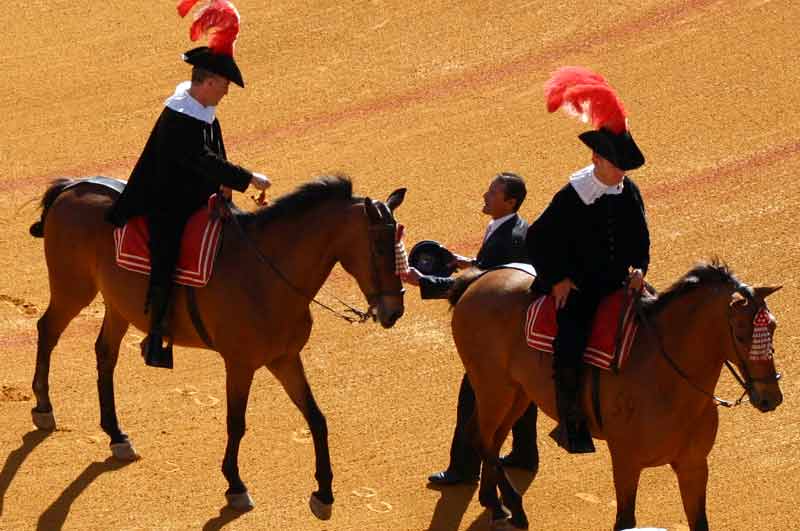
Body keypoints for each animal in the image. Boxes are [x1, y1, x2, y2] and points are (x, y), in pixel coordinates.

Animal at [29, 176, 406, 520]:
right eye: (379, 248)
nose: (394, 311)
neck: (267, 274)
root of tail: (72, 187)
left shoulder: (285, 359)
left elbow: (316, 417)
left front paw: (323, 494)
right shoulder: (239, 364)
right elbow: (236, 422)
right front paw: (236, 486)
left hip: (118, 306)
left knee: (105, 354)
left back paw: (117, 435)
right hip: (73, 289)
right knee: (47, 331)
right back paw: (44, 407)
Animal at [450, 262, 780, 531]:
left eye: (773, 326)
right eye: (740, 332)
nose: (770, 397)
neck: (668, 380)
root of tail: (480, 279)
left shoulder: (694, 465)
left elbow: (699, 522)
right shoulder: (626, 462)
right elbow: (625, 520)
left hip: (516, 394)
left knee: (486, 438)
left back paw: (495, 503)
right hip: (494, 389)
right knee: (483, 438)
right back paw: (512, 508)